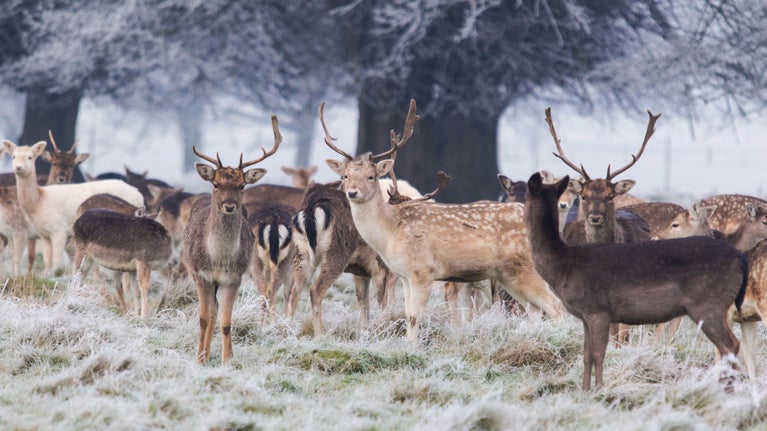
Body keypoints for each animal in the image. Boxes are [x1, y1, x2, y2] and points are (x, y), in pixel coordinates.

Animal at [2, 139, 144, 275]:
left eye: (30, 157)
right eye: (14, 156)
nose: (18, 167)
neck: (39, 202)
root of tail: (140, 195)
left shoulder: (59, 231)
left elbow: (55, 261)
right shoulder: (43, 235)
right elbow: (46, 261)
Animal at [181, 115, 281, 364]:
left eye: (242, 185)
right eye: (216, 184)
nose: (229, 205)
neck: (218, 260)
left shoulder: (234, 278)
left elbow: (226, 321)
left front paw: (228, 359)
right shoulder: (200, 274)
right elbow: (203, 318)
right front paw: (199, 358)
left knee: (216, 311)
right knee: (211, 312)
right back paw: (204, 353)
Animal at [323, 99, 564, 341]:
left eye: (371, 177)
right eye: (346, 176)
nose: (352, 192)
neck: (390, 233)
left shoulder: (423, 271)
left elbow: (413, 316)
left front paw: (413, 347)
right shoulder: (404, 275)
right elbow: (407, 313)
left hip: (525, 268)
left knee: (556, 306)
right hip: (506, 275)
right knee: (534, 309)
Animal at [525, 171, 747, 391]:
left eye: (525, 197)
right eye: (583, 197)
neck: (565, 265)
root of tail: (741, 259)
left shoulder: (598, 310)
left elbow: (598, 354)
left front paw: (600, 390)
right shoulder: (585, 316)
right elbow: (586, 356)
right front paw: (586, 391)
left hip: (708, 304)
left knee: (730, 345)